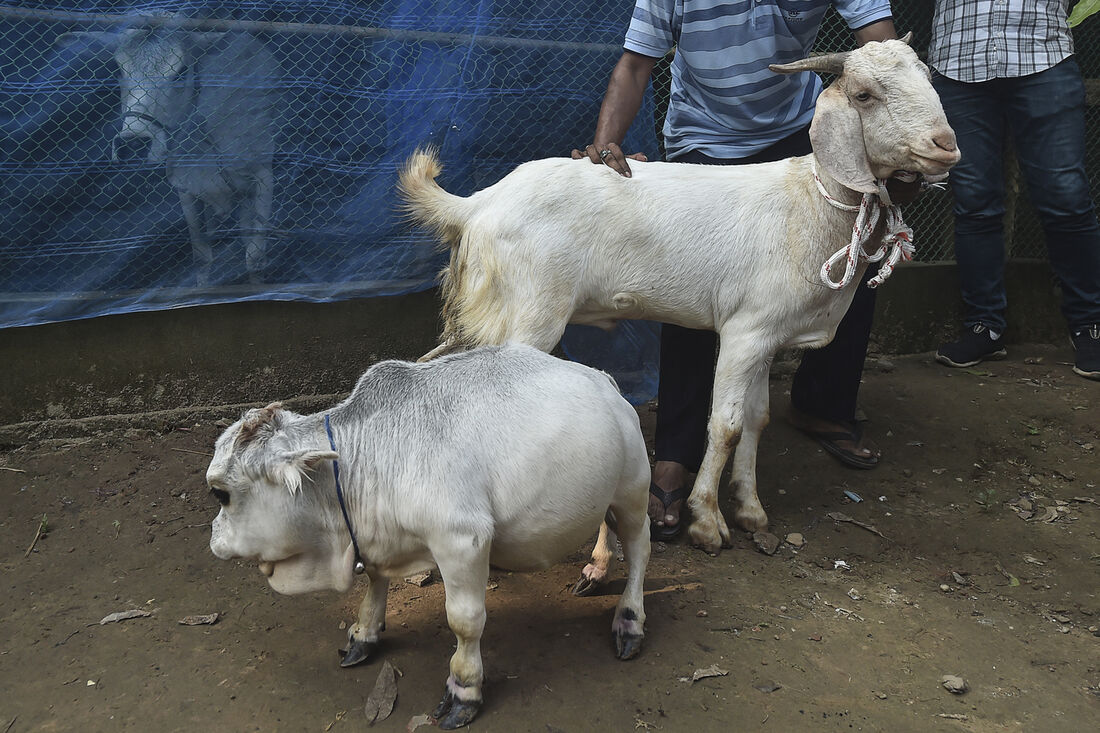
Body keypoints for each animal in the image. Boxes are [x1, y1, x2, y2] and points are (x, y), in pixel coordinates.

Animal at [206, 343, 651, 726]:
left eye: (220, 493)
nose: (214, 539)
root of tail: (604, 381)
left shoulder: (463, 540)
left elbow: (465, 621)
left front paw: (464, 689)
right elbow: (375, 581)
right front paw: (365, 633)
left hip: (633, 491)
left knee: (639, 551)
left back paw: (629, 619)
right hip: (605, 491)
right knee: (606, 524)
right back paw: (597, 568)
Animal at [396, 37, 954, 550]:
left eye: (929, 78)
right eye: (863, 94)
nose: (945, 143)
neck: (810, 204)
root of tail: (477, 204)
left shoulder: (767, 333)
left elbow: (757, 419)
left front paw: (751, 511)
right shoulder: (745, 332)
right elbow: (725, 425)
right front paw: (706, 521)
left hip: (486, 311)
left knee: (433, 365)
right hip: (529, 310)